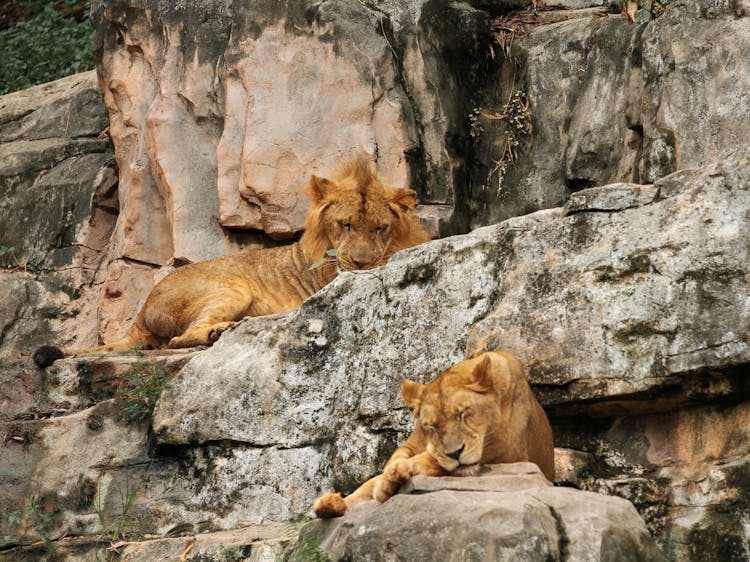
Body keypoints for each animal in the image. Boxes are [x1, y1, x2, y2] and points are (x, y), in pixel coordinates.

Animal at [35, 159, 432, 368]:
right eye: (345, 225)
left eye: (380, 227)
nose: (363, 263)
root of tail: (140, 314)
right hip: (232, 288)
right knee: (179, 338)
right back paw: (219, 332)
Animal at [312, 350, 552, 516]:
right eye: (432, 426)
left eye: (463, 414)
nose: (455, 453)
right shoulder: (414, 441)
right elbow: (396, 458)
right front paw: (386, 482)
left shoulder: (509, 449)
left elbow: (433, 460)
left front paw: (399, 472)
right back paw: (330, 505)